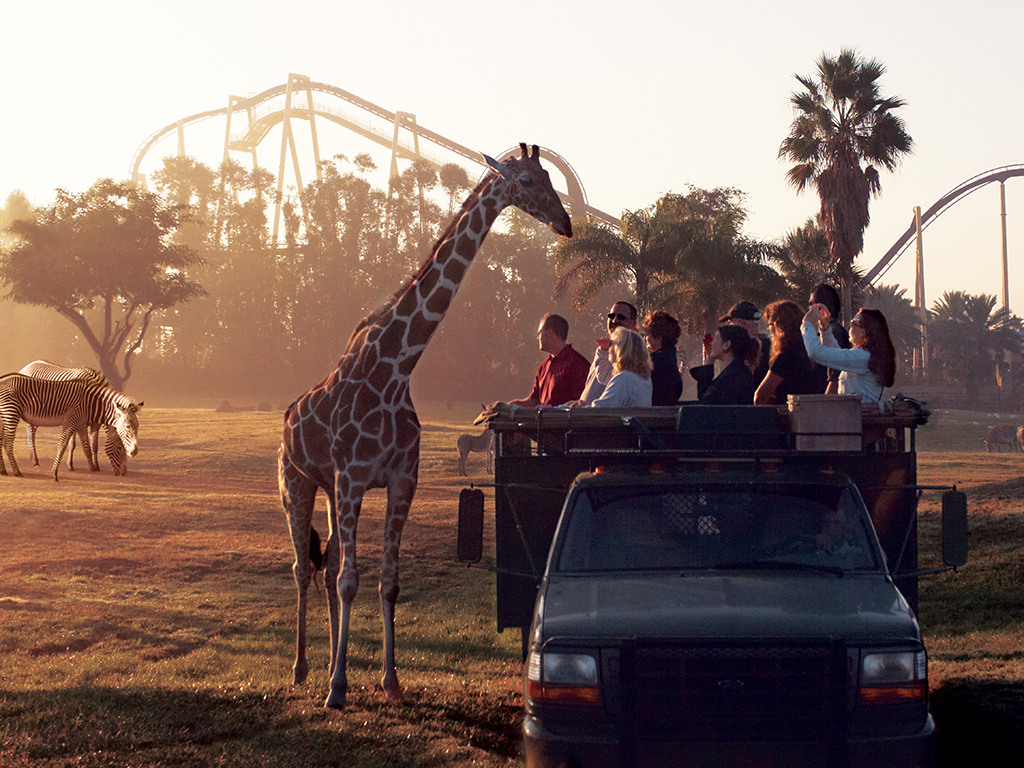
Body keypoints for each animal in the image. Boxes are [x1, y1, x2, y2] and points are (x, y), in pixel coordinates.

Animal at [0, 372, 142, 481]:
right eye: (119, 448)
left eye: (138, 427)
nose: (134, 452)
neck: (90, 404)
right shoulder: (71, 422)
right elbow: (62, 446)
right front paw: (54, 474)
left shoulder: (79, 425)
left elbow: (83, 446)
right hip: (11, 412)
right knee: (7, 443)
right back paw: (17, 472)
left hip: (3, 416)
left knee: (1, 441)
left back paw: (3, 471)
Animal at [278, 143, 569, 708]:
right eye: (526, 180)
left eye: (550, 176)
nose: (565, 222)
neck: (396, 369)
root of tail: (286, 417)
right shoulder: (353, 479)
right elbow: (350, 580)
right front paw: (338, 689)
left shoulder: (398, 480)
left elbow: (386, 581)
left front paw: (388, 679)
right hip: (296, 483)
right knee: (305, 568)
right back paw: (303, 671)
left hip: (327, 486)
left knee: (326, 566)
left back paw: (324, 663)